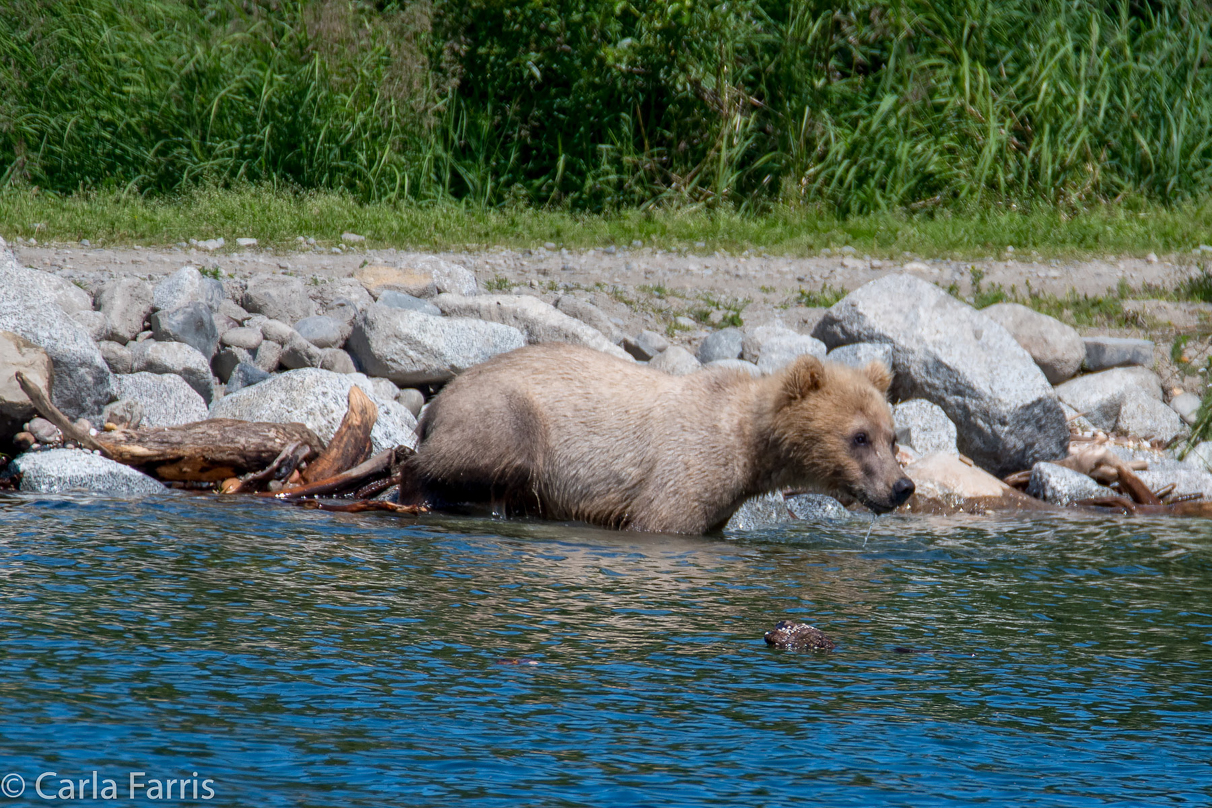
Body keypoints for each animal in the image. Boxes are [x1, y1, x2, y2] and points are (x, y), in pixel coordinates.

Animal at [402, 344, 911, 537]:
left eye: (892, 437)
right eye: (859, 436)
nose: (902, 487)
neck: (748, 446)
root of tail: (437, 399)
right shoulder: (685, 471)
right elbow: (663, 520)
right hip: (507, 413)